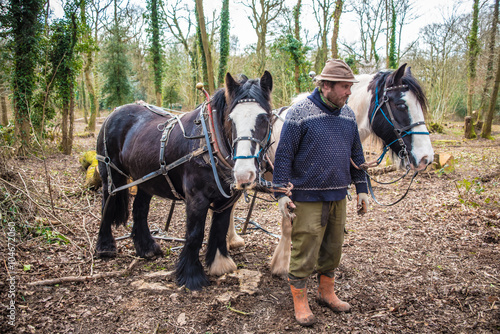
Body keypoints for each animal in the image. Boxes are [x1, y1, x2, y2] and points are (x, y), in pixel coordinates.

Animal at [96, 71, 274, 290]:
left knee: (140, 210)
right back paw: (105, 246)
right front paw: (191, 275)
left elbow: (219, 228)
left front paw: (219, 264)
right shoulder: (196, 198)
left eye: (265, 118)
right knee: (107, 203)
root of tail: (114, 112)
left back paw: (146, 247)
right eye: (230, 119)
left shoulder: (225, 201)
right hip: (111, 175)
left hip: (145, 179)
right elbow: (195, 234)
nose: (243, 174)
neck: (208, 143)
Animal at [227, 63, 434, 276]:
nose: (426, 157)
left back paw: (232, 240)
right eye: (401, 105)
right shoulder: (287, 189)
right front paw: (281, 265)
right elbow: (287, 224)